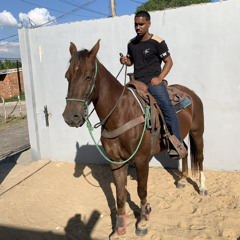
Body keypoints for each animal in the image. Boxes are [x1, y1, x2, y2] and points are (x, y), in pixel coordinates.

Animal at [62, 40, 207, 237]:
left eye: (88, 77)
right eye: (67, 76)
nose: (71, 117)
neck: (120, 113)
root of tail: (191, 92)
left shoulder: (141, 159)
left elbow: (141, 190)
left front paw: (143, 221)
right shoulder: (115, 162)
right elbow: (120, 195)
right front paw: (119, 228)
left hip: (198, 132)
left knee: (199, 157)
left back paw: (202, 187)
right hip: (180, 134)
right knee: (183, 150)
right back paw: (183, 179)